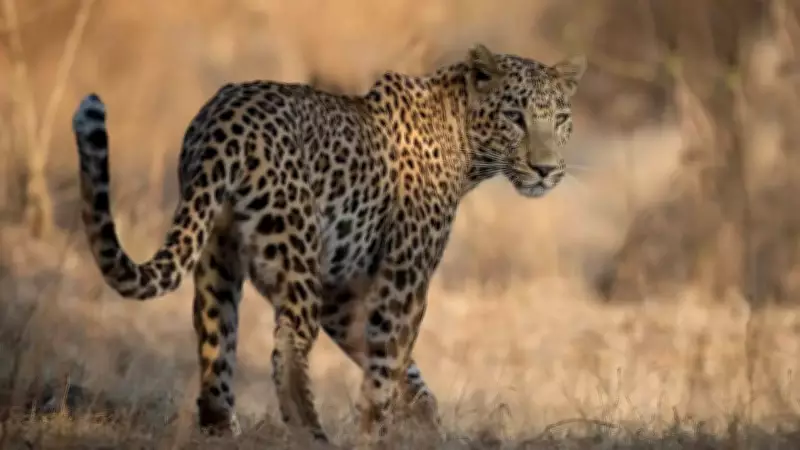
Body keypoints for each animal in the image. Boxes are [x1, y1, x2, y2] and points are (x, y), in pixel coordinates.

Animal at [71, 43, 586, 445]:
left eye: (561, 119)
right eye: (515, 118)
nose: (546, 170)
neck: (464, 141)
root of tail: (221, 120)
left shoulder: (344, 292)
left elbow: (404, 372)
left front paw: (426, 426)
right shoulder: (404, 279)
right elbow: (387, 365)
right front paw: (379, 435)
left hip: (216, 252)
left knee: (216, 344)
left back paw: (220, 432)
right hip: (295, 250)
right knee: (287, 350)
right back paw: (312, 436)